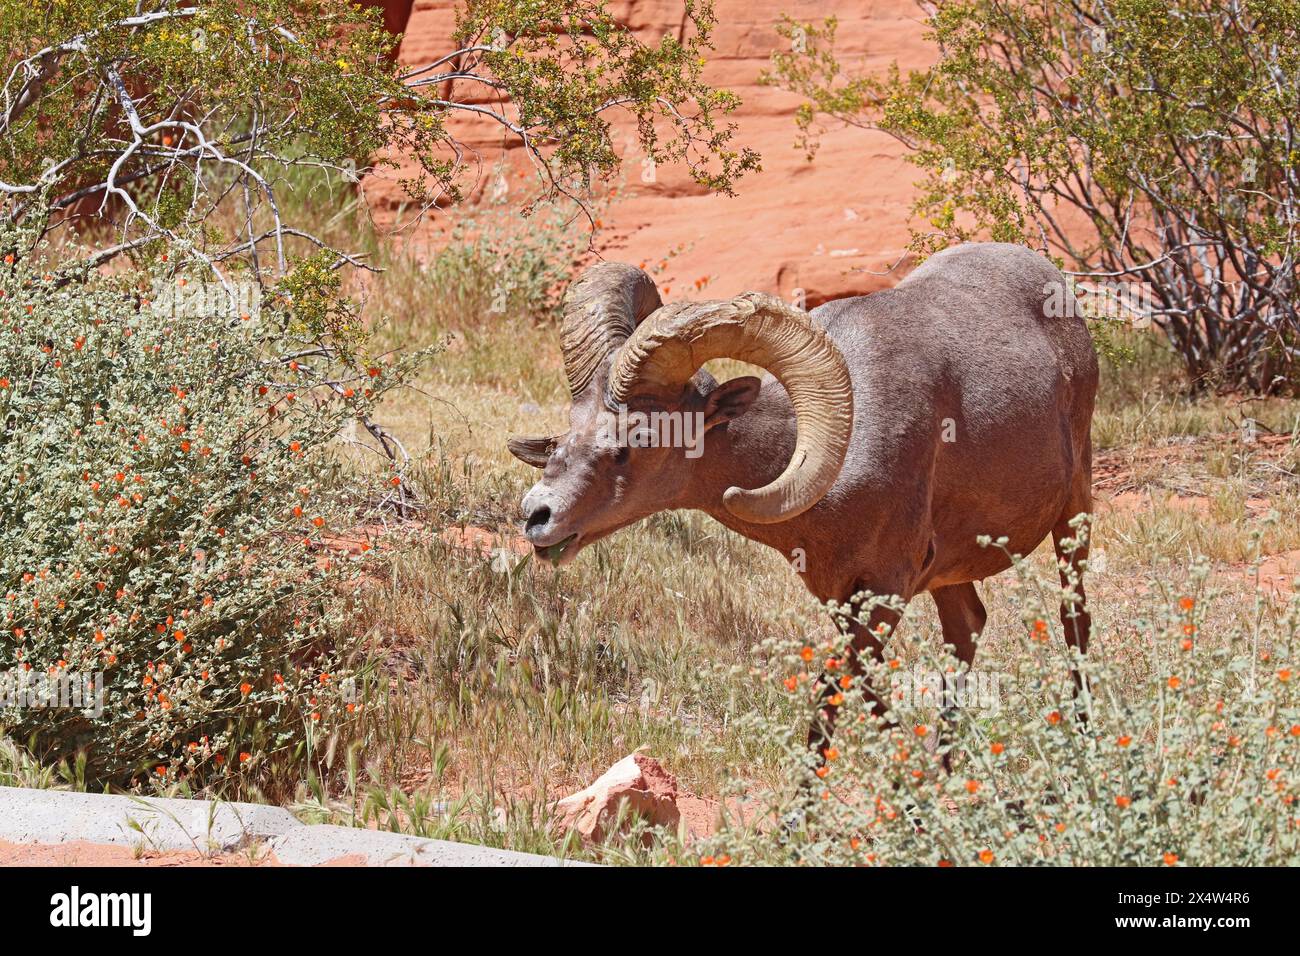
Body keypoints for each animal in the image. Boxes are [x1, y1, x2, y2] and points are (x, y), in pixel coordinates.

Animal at [506, 240, 1097, 749]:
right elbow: (862, 700)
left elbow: (830, 709)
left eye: (637, 442)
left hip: (1074, 517)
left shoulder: (885, 593)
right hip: (951, 575)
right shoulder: (844, 597)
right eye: (570, 427)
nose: (537, 516)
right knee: (967, 628)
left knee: (1075, 621)